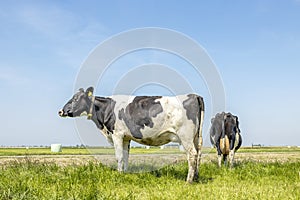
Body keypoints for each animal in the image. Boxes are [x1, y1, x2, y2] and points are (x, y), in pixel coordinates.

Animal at [58, 86, 204, 184]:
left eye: (75, 98)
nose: (60, 111)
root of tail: (194, 95)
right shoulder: (126, 138)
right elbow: (126, 156)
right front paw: (126, 173)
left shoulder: (117, 134)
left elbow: (119, 157)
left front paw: (119, 174)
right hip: (196, 136)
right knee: (198, 152)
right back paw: (196, 177)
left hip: (185, 136)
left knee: (192, 154)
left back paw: (189, 180)